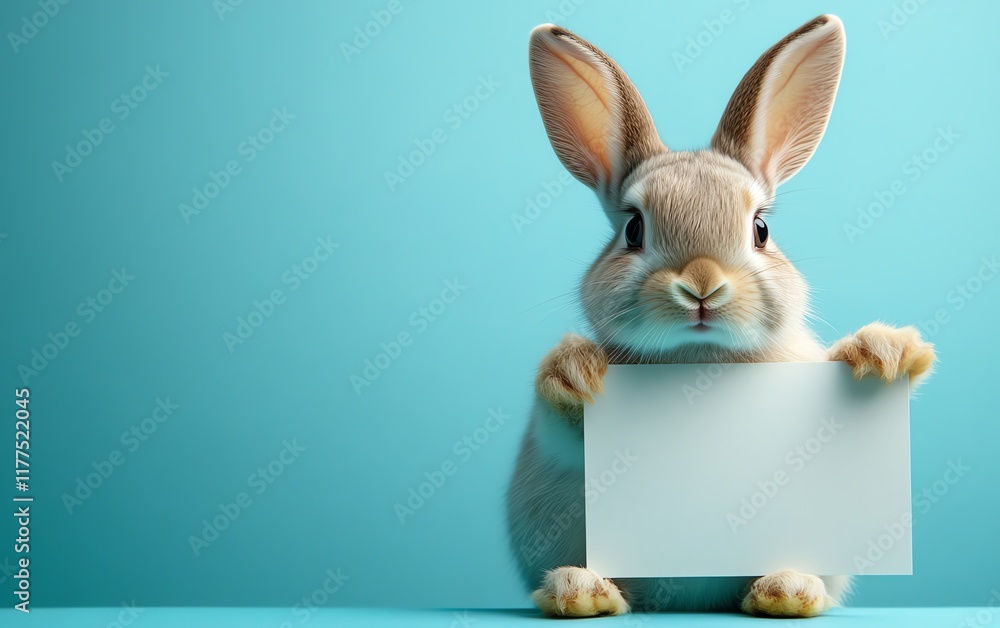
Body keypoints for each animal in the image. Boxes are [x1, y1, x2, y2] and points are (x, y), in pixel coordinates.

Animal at [505, 14, 936, 618]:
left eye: (761, 229)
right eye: (633, 229)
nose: (702, 286)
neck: (699, 359)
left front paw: (885, 352)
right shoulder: (560, 443)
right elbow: (562, 424)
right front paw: (574, 370)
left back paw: (787, 591)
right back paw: (581, 590)